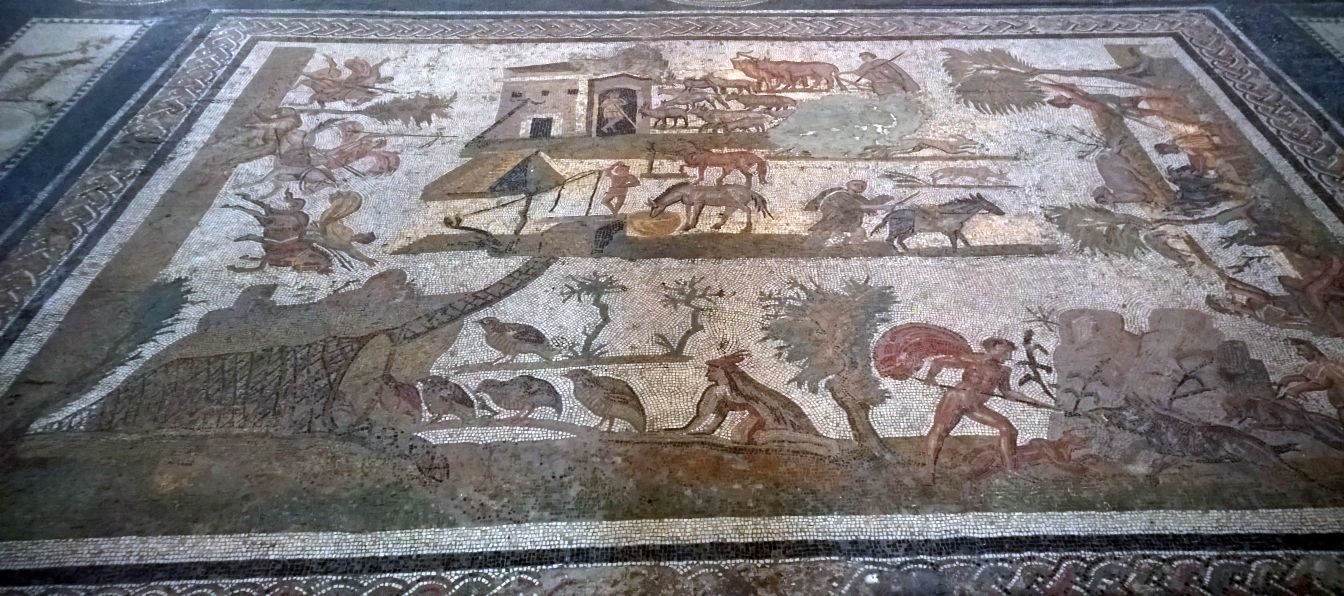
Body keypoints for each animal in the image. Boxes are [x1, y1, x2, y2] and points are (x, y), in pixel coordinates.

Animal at [870, 193, 1004, 251]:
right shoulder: (949, 231)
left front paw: (971, 250)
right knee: (890, 240)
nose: (1002, 212)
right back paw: (898, 251)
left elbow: (964, 240)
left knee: (899, 240)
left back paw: (907, 251)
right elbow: (954, 243)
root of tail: (889, 215)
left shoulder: (956, 230)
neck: (956, 215)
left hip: (911, 231)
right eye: (989, 204)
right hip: (898, 229)